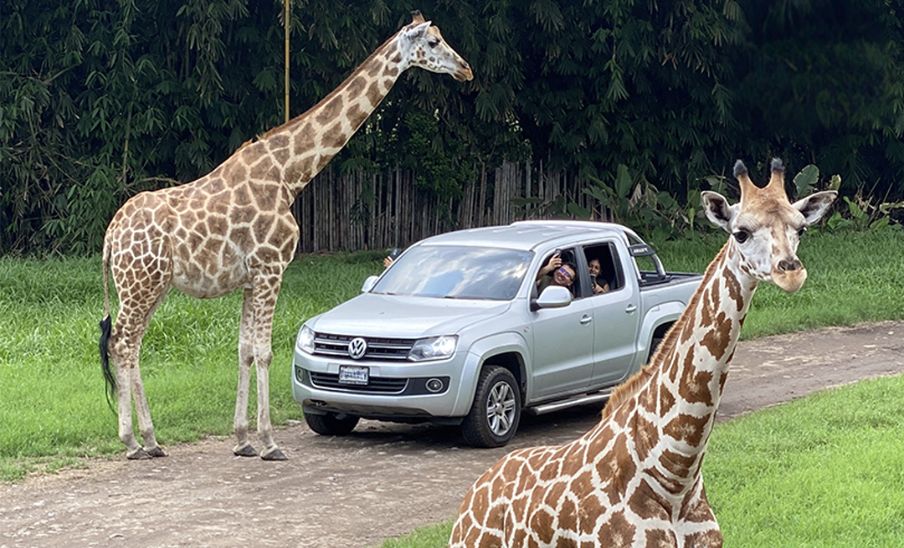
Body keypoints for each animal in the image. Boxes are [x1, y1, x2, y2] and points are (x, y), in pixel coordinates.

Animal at [99, 10, 474, 460]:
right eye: (433, 42)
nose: (466, 69)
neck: (289, 175)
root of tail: (110, 236)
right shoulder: (272, 267)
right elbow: (264, 352)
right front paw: (269, 442)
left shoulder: (251, 277)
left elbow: (244, 350)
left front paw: (243, 439)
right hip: (141, 283)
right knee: (122, 343)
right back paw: (132, 442)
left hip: (151, 285)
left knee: (130, 343)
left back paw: (151, 440)